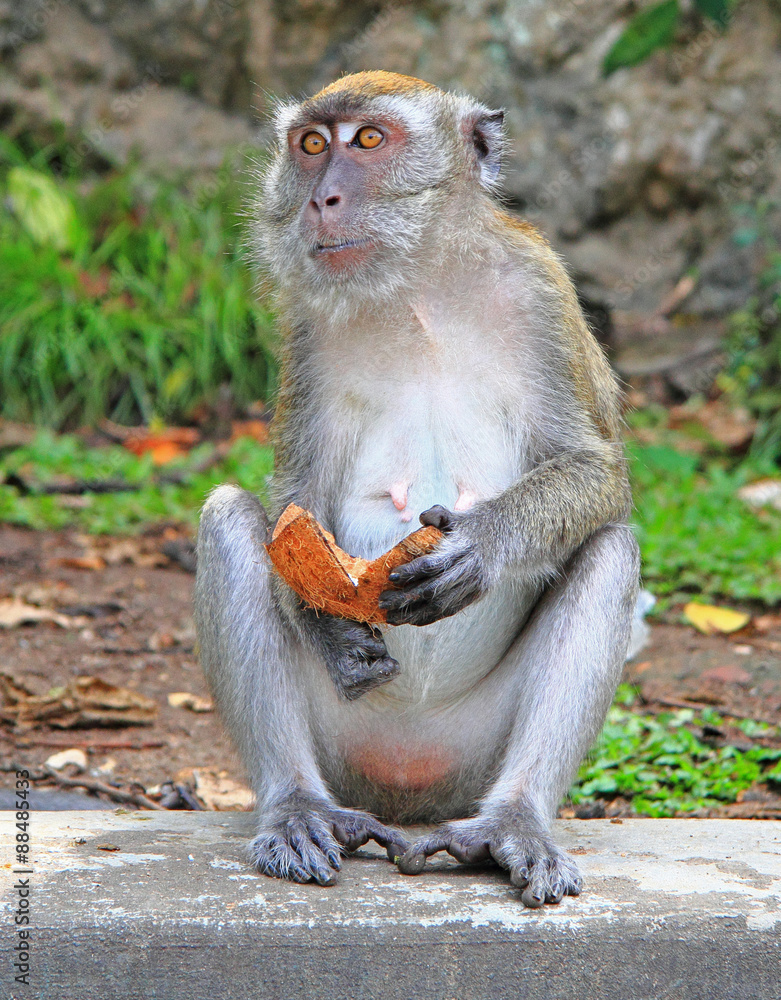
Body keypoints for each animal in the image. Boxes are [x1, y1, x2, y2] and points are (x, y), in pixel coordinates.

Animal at [194, 70, 640, 908]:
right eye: (311, 145)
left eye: (369, 140)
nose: (321, 198)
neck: (417, 289)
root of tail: (405, 793)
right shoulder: (306, 330)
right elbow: (292, 504)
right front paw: (325, 619)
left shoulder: (542, 293)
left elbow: (598, 475)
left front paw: (480, 546)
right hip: (346, 744)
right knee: (227, 519)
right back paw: (297, 808)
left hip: (469, 753)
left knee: (610, 550)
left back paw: (510, 824)